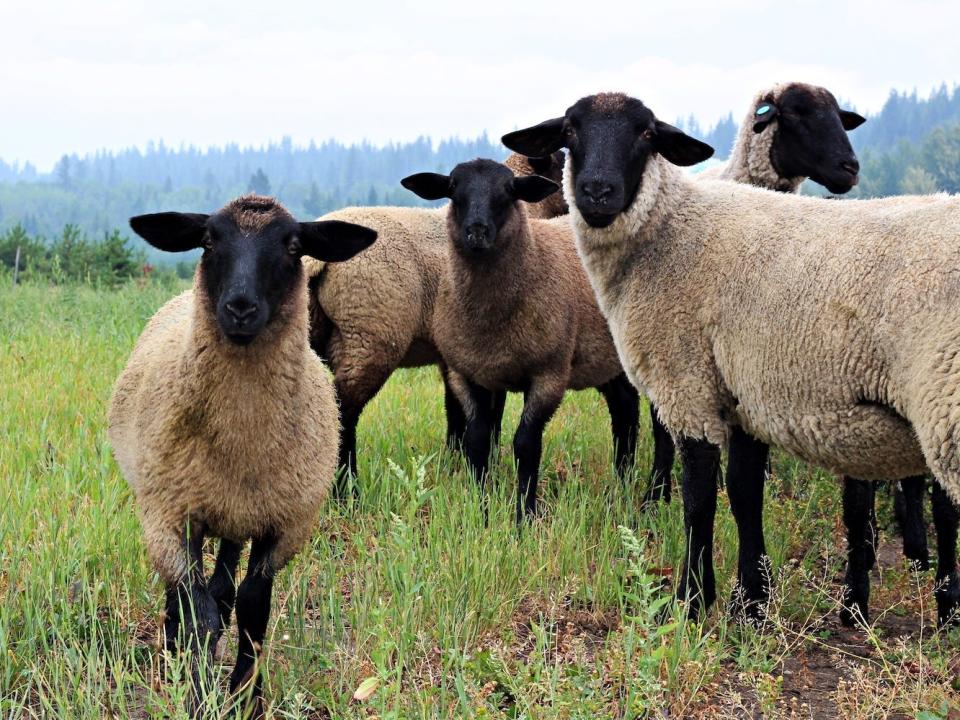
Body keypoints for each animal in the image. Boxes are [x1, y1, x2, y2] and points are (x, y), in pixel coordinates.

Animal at [106, 194, 376, 716]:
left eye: (293, 245)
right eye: (209, 240)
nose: (240, 307)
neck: (244, 442)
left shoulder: (285, 523)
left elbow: (253, 608)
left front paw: (248, 695)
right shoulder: (173, 515)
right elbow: (199, 612)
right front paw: (198, 693)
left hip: (235, 513)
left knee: (225, 582)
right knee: (184, 592)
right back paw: (171, 646)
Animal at [304, 153, 568, 490]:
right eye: (561, 167)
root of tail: (315, 261)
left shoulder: (454, 356)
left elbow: (455, 413)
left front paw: (457, 462)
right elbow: (490, 414)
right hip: (370, 338)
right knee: (344, 414)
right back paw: (348, 491)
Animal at [402, 160, 640, 524]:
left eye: (509, 191)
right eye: (453, 189)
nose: (476, 231)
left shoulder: (548, 374)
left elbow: (525, 444)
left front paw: (524, 516)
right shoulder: (467, 374)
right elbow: (477, 440)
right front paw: (481, 510)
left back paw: (655, 492)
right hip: (607, 361)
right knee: (625, 409)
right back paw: (623, 481)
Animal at [502, 93, 960, 628]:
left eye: (646, 134)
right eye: (570, 131)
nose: (597, 192)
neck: (669, 230)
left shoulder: (689, 385)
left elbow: (699, 499)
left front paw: (692, 600)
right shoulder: (744, 394)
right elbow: (744, 496)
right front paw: (752, 603)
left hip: (945, 403)